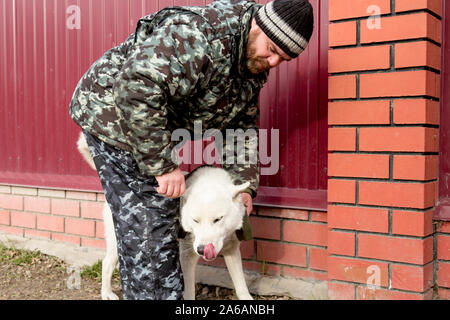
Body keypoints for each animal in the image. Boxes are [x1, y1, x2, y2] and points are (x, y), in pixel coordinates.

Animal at [77, 132, 253, 300]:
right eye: (195, 221)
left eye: (218, 219)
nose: (202, 250)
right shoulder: (187, 254)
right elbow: (189, 291)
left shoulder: (232, 249)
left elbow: (241, 286)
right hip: (119, 240)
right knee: (107, 263)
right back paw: (106, 293)